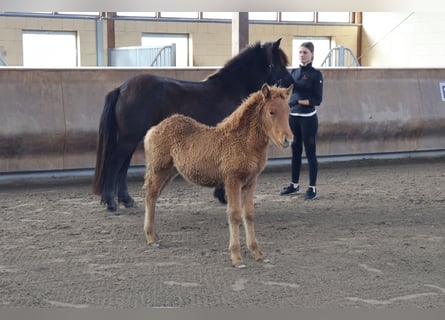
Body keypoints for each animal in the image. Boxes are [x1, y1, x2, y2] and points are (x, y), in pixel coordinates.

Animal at [92, 38, 294, 211]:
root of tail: (122, 88)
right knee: (115, 162)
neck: (231, 88)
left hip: (132, 137)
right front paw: (224, 195)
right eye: (277, 63)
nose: (291, 84)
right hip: (129, 137)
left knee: (123, 165)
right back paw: (110, 202)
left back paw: (126, 200)